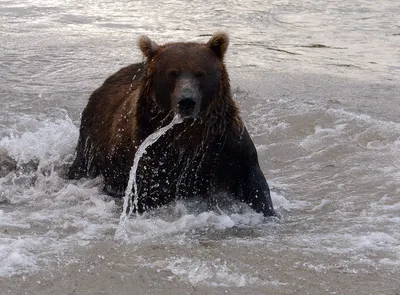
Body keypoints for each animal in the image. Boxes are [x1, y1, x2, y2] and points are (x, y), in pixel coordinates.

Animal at [68, 33, 276, 217]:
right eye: (172, 73)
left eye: (200, 73)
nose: (186, 101)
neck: (191, 133)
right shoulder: (153, 157)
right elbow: (148, 193)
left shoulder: (227, 148)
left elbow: (255, 189)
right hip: (91, 145)